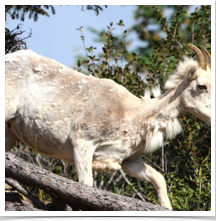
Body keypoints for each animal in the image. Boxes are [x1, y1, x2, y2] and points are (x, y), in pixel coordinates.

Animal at [5, 43, 211, 211]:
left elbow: (158, 178)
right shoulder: (83, 144)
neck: (132, 114)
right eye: (202, 86)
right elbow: (86, 186)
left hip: (11, 133)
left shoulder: (129, 160)